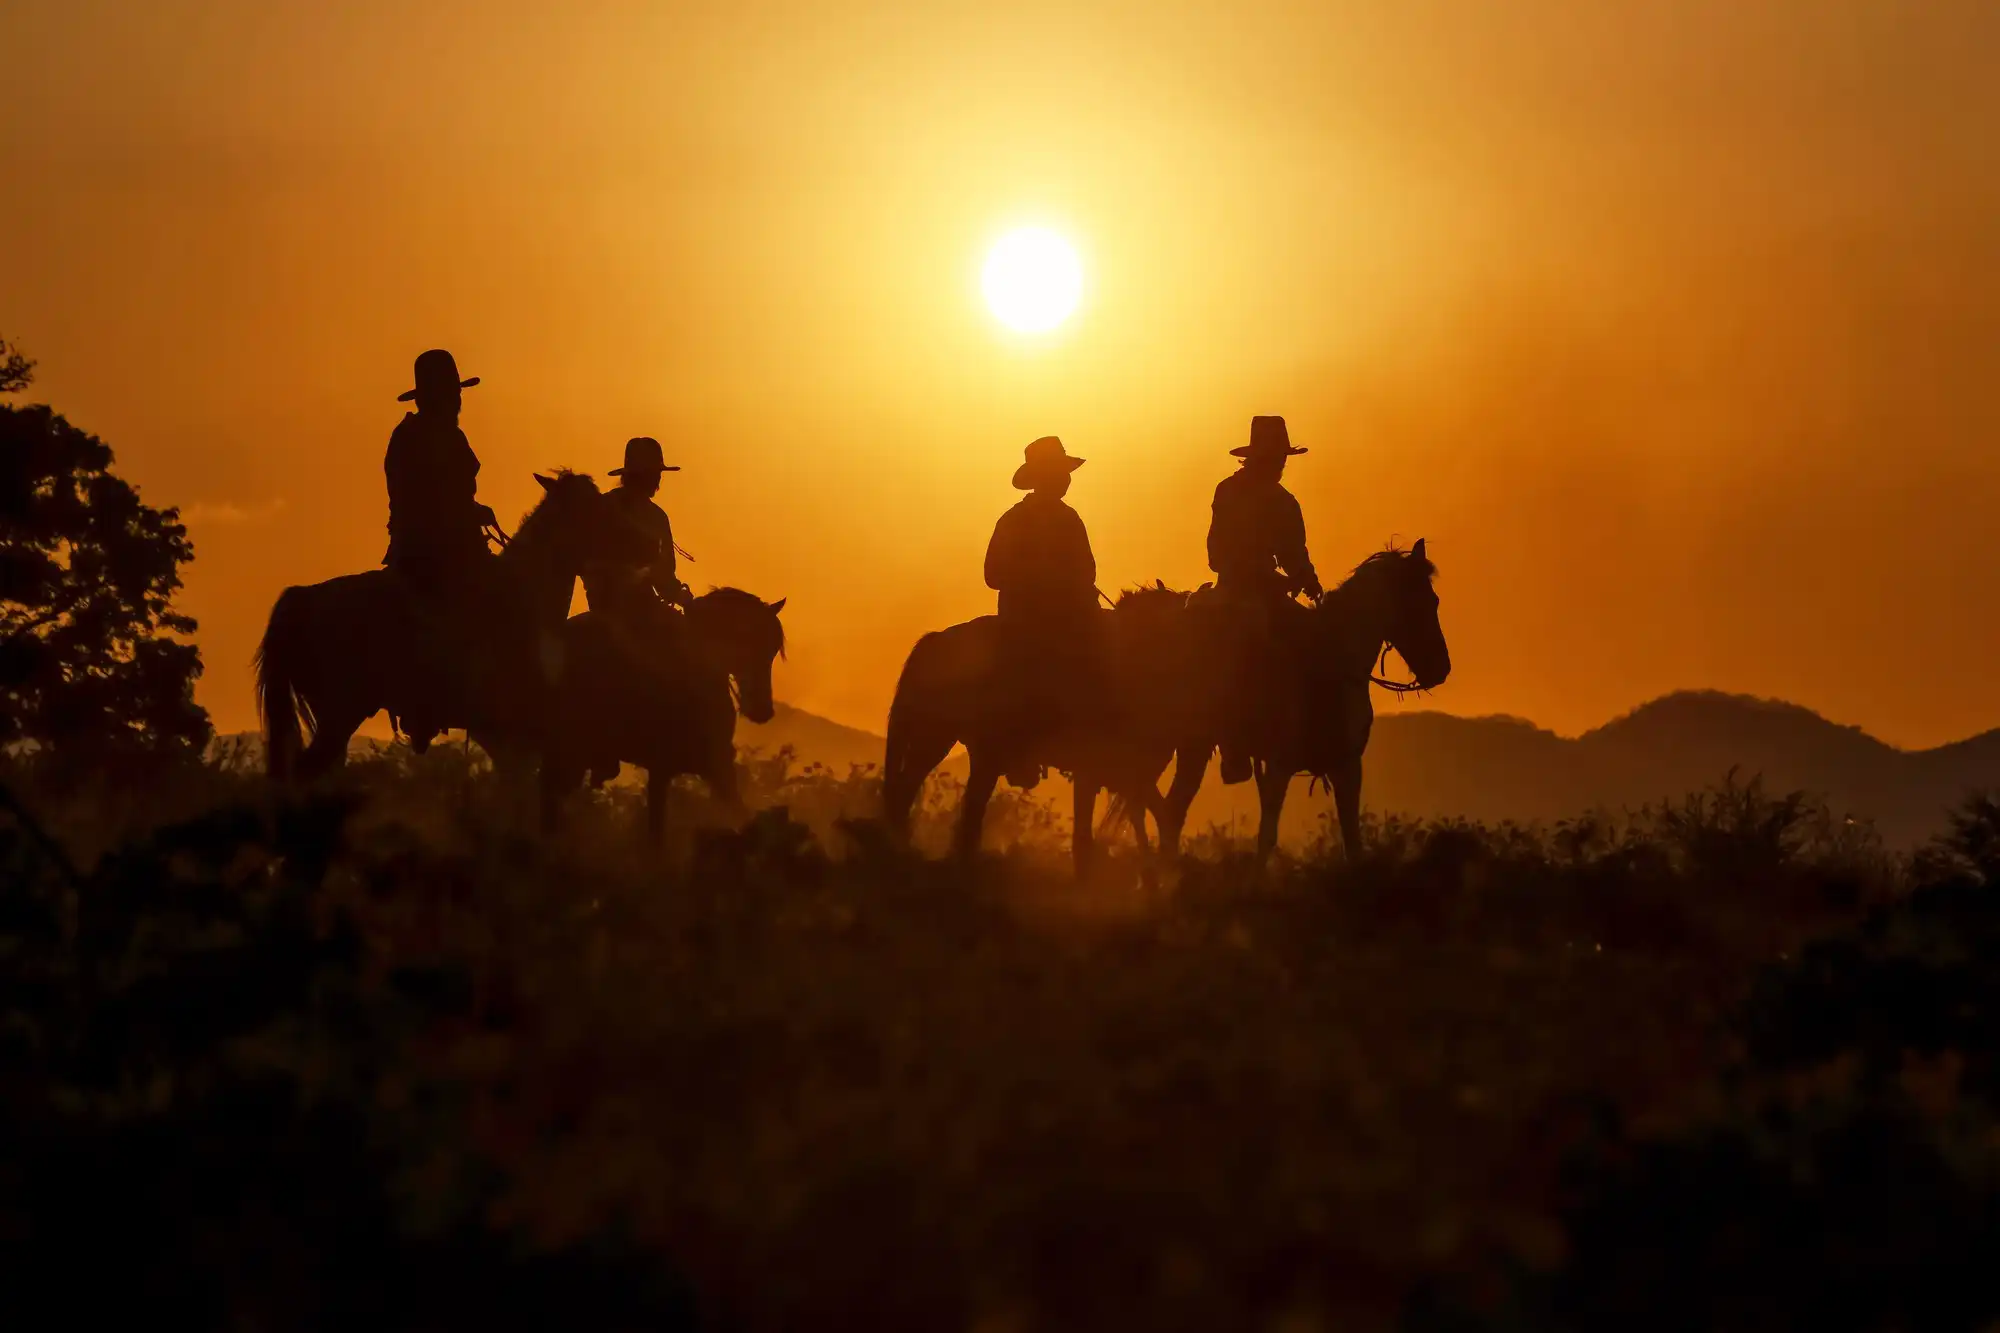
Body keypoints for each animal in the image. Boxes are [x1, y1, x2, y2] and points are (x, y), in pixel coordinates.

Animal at [1160, 536, 1456, 860]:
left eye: (1435, 601)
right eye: (1420, 603)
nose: (1441, 669)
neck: (1331, 656)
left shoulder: (1346, 764)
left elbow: (1352, 841)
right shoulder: (1280, 765)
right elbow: (1267, 837)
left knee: (1171, 812)